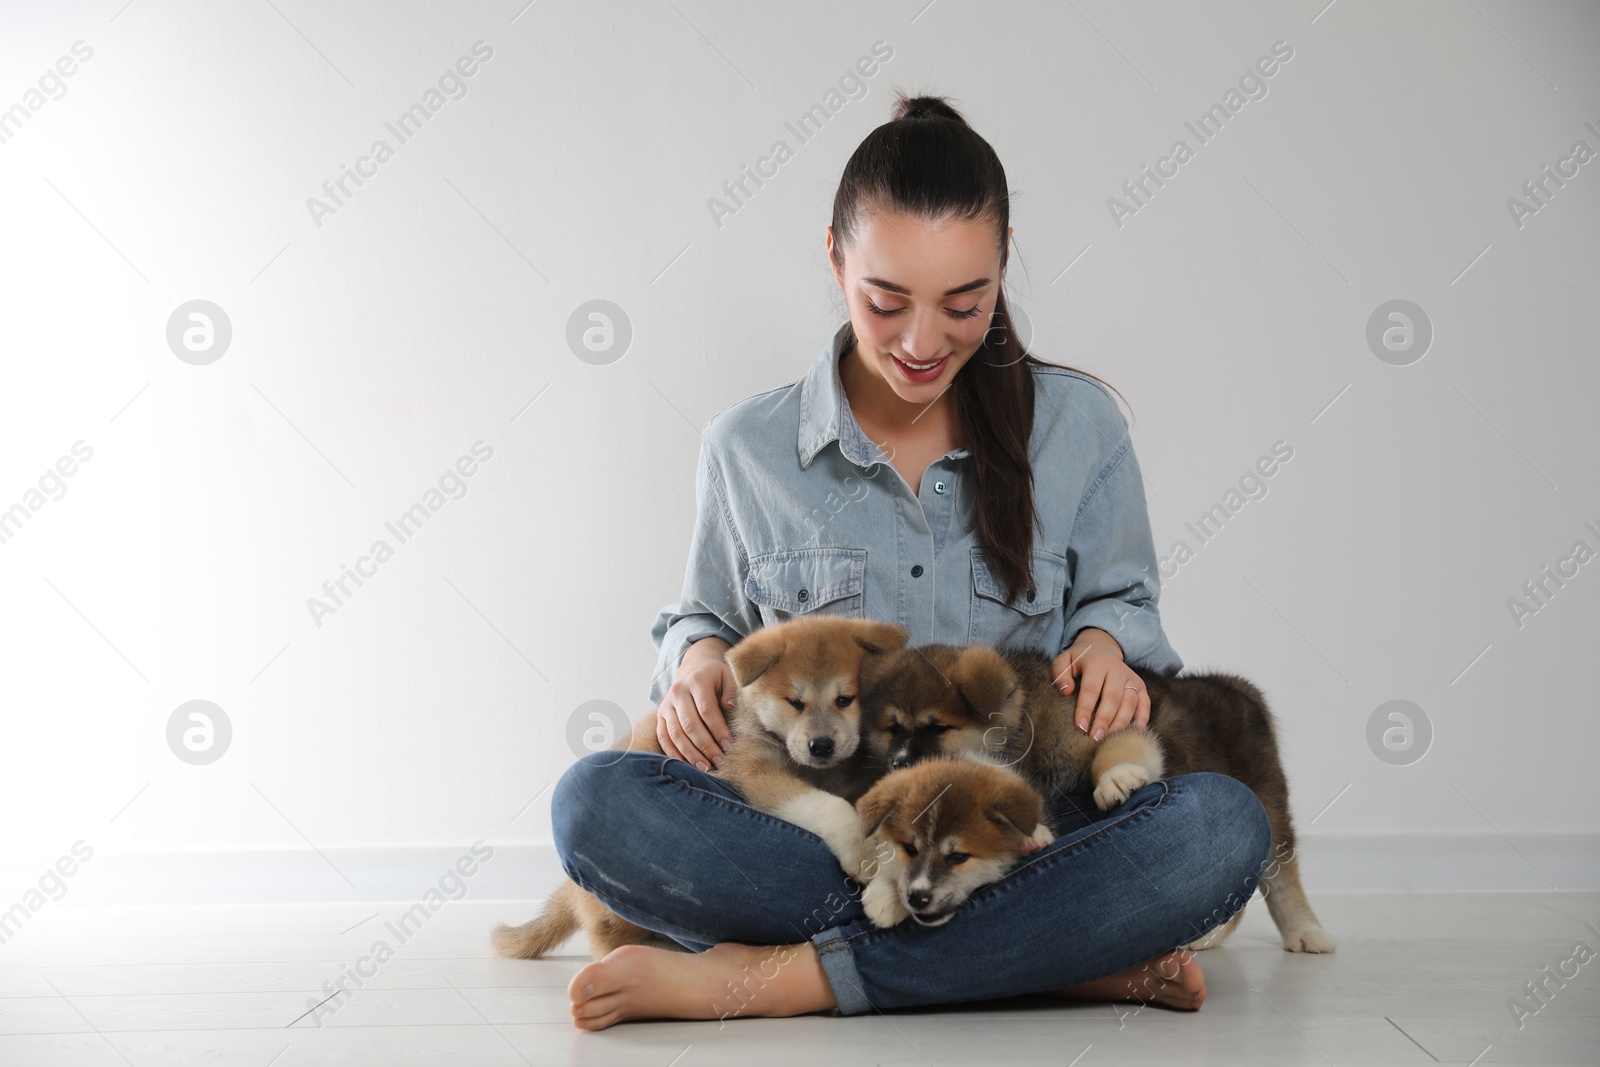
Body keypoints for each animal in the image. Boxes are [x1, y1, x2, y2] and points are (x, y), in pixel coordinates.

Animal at [492, 614, 908, 966]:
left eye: (845, 699)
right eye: (795, 702)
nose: (821, 746)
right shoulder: (753, 769)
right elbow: (827, 806)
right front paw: (861, 850)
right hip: (609, 913)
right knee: (606, 936)